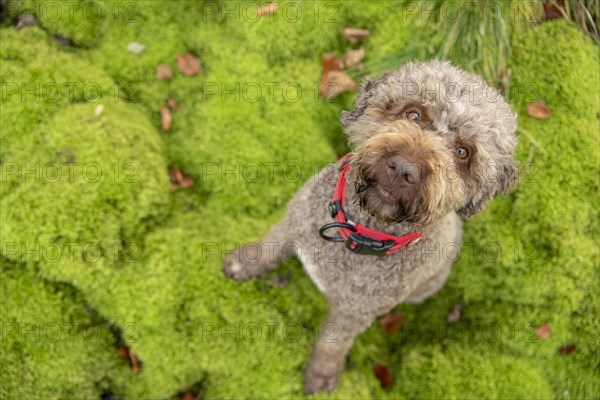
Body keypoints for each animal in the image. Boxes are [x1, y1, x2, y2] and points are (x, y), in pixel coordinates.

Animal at [223, 60, 516, 394]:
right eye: (412, 114)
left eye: (464, 152)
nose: (404, 169)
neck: (356, 232)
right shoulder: (292, 221)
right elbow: (268, 247)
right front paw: (244, 264)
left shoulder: (355, 311)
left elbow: (333, 343)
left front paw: (321, 373)